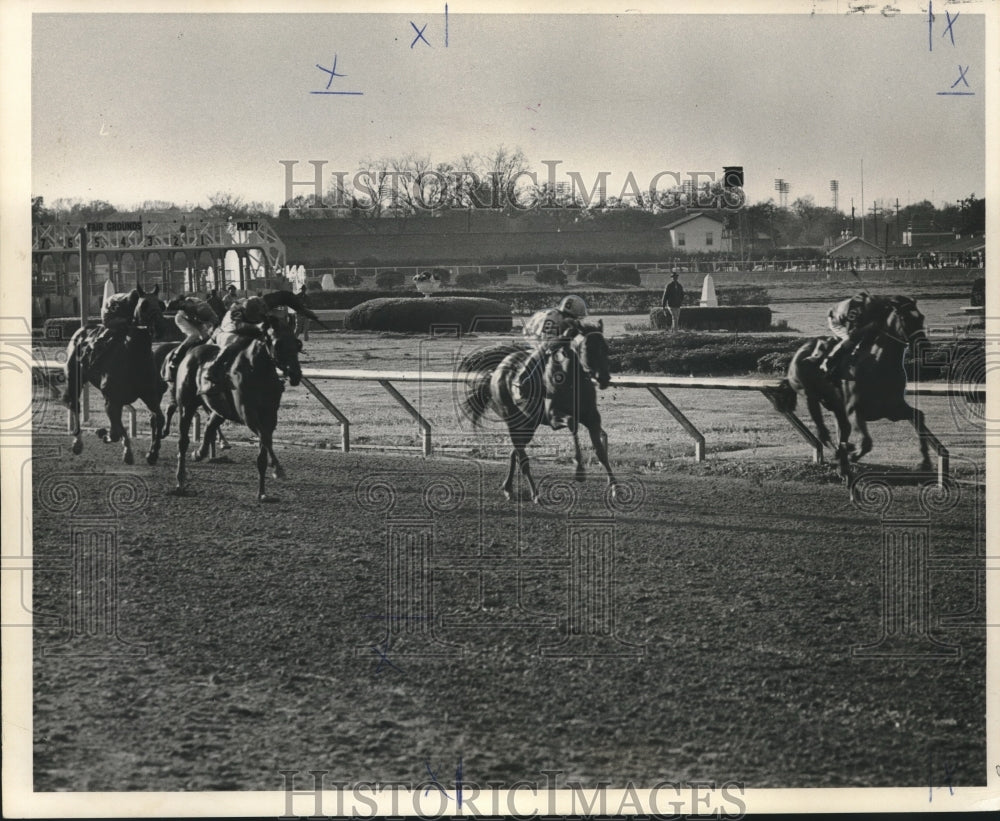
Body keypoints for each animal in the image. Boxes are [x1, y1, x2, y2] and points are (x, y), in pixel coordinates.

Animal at [62, 286, 169, 464]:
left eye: (161, 305)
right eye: (144, 305)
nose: (160, 328)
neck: (134, 358)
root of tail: (81, 330)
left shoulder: (150, 396)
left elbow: (158, 418)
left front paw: (152, 454)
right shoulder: (112, 399)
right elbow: (115, 432)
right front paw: (103, 434)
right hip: (74, 380)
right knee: (74, 405)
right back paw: (78, 443)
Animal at [170, 312, 302, 496]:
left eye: (297, 343)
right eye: (278, 344)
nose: (296, 374)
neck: (258, 371)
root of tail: (192, 350)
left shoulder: (270, 416)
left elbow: (264, 446)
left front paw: (263, 492)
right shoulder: (248, 414)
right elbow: (265, 439)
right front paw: (277, 469)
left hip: (220, 410)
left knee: (209, 426)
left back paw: (199, 453)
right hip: (186, 405)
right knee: (183, 442)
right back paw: (180, 480)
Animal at [460, 318, 616, 500]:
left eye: (605, 348)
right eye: (587, 348)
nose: (604, 378)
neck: (571, 380)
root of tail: (495, 373)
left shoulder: (592, 418)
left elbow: (601, 452)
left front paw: (615, 487)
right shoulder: (553, 416)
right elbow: (572, 424)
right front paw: (579, 470)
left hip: (529, 424)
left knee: (516, 451)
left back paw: (508, 488)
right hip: (512, 420)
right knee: (522, 456)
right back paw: (535, 493)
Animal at [776, 294, 932, 478]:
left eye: (921, 317)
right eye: (905, 318)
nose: (924, 346)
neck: (878, 366)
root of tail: (799, 352)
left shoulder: (893, 408)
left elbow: (919, 416)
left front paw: (925, 462)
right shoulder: (855, 410)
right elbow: (866, 443)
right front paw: (852, 455)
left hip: (836, 407)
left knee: (840, 432)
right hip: (810, 397)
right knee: (823, 433)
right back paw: (840, 455)